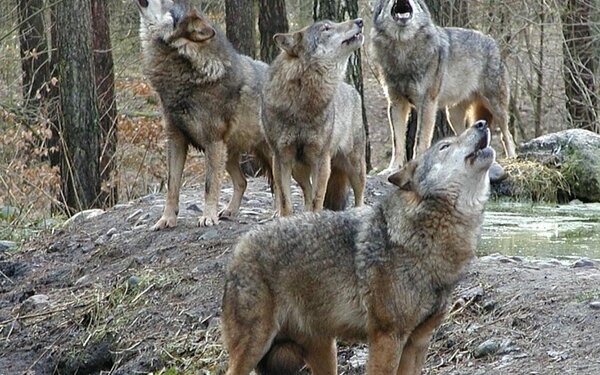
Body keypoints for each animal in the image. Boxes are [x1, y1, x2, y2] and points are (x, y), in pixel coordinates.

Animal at [135, 0, 270, 229]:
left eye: (167, 2)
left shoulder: (213, 142)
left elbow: (209, 185)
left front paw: (208, 217)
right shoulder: (176, 140)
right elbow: (172, 185)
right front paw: (167, 219)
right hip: (229, 155)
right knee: (243, 182)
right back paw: (230, 211)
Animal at [221, 122, 496, 374]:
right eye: (445, 146)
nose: (482, 123)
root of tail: (238, 249)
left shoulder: (418, 342)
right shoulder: (386, 336)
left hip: (323, 351)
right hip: (255, 345)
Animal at [262, 18, 366, 217]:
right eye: (326, 28)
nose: (360, 20)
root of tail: (352, 89)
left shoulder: (321, 159)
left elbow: (319, 198)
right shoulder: (281, 158)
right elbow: (286, 201)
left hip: (354, 165)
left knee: (359, 194)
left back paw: (359, 211)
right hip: (298, 169)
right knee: (307, 191)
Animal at [370, 0, 516, 173]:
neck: (403, 49)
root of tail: (492, 42)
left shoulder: (427, 103)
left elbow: (419, 140)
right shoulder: (396, 103)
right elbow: (397, 141)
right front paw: (392, 168)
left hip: (495, 107)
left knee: (507, 134)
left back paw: (512, 157)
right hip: (452, 115)